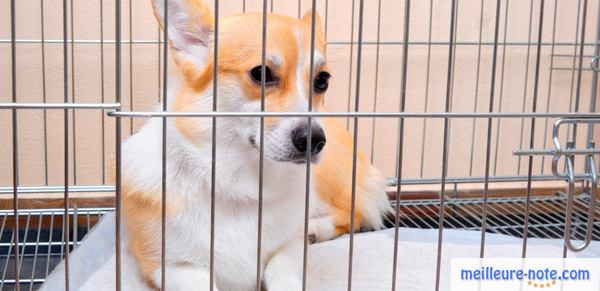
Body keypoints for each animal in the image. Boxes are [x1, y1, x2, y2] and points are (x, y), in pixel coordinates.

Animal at [120, 1, 394, 290]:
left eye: (322, 80)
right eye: (261, 73)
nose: (315, 140)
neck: (241, 183)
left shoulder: (289, 248)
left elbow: (281, 270)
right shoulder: (169, 265)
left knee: (352, 213)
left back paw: (314, 229)